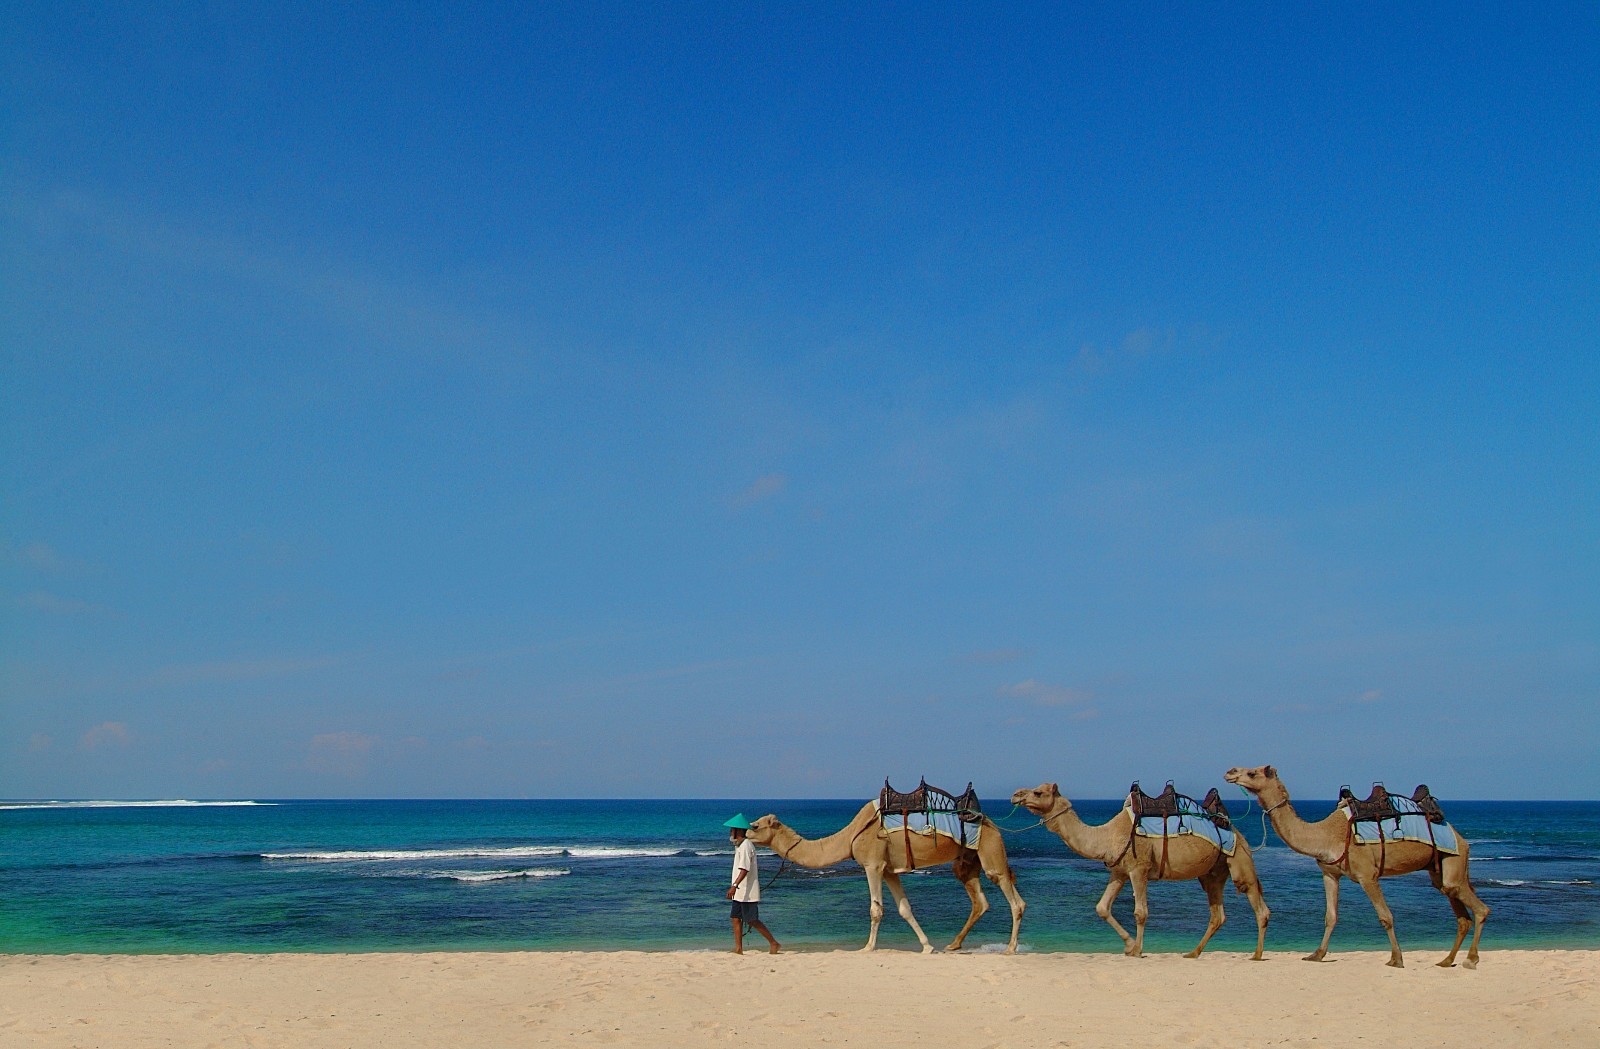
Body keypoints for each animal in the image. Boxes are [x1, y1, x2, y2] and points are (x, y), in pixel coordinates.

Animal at [745, 802, 1024, 953]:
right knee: (980, 901)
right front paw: (927, 946)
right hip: (967, 861)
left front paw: (867, 947)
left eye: (756, 825)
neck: (850, 837)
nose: (742, 833)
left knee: (1014, 899)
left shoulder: (873, 864)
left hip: (991, 849)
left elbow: (876, 909)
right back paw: (953, 945)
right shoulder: (889, 870)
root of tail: (994, 825)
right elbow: (905, 909)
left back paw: (1010, 948)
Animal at [1011, 777, 1260, 959]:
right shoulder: (1119, 871)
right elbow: (1102, 907)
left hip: (1239, 857)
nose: (1016, 795)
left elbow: (1141, 912)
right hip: (1213, 873)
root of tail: (1235, 830)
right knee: (1218, 914)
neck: (1107, 836)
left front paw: (1138, 950)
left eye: (1038, 793)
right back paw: (1193, 953)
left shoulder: (1139, 868)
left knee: (1257, 902)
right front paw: (1129, 945)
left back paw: (1256, 954)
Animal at [1222, 767, 1484, 972]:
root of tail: (1461, 839)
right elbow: (1330, 916)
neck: (1326, 835)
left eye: (1252, 772)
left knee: (1480, 909)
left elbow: (1386, 916)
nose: (1230, 772)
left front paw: (1396, 959)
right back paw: (1446, 960)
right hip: (1438, 870)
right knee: (1460, 913)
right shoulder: (1330, 873)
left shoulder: (1367, 875)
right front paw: (1316, 955)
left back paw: (1470, 960)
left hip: (1454, 861)